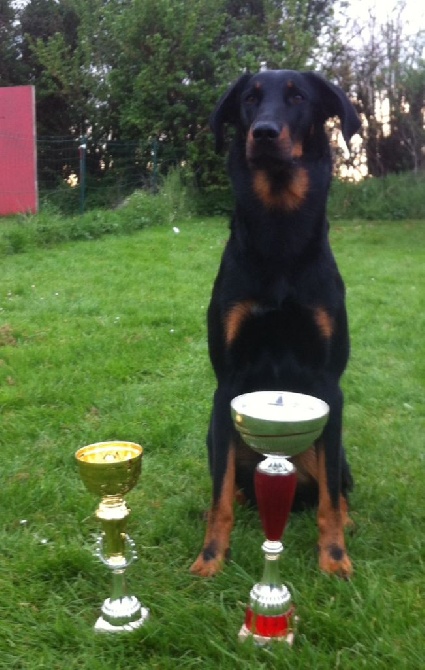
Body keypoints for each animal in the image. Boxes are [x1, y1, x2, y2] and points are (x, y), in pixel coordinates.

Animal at [190, 71, 360, 580]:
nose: (263, 133)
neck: (280, 232)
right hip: (216, 431)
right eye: (249, 99)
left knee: (334, 487)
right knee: (232, 484)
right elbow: (221, 494)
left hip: (335, 447)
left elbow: (330, 498)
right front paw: (211, 557)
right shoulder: (227, 383)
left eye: (298, 98)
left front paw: (335, 558)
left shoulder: (329, 383)